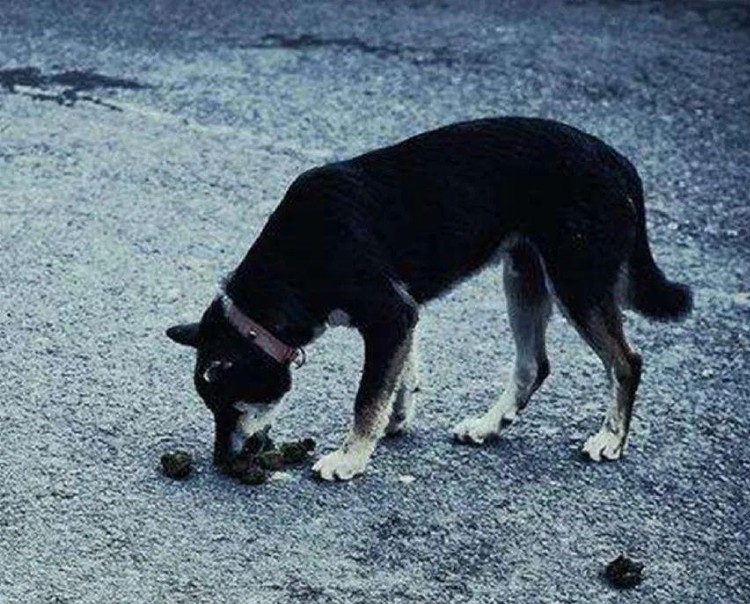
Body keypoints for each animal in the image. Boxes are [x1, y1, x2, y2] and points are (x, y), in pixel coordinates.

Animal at [166, 115, 692, 478]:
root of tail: (618, 162)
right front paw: (393, 422)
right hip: (524, 274)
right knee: (533, 365)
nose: (220, 462)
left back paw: (611, 438)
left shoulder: (389, 314)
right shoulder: (403, 315)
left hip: (577, 281)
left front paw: (351, 456)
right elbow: (399, 376)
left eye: (230, 407)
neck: (298, 259)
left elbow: (367, 395)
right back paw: (487, 425)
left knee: (625, 361)